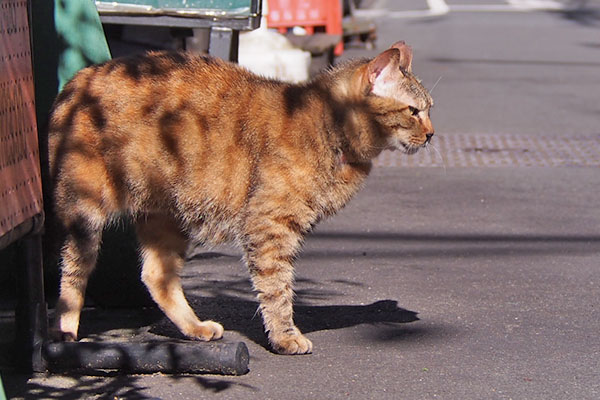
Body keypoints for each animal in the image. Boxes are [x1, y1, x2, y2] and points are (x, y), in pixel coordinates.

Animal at [47, 40, 432, 354]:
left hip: (166, 216)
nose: (431, 134)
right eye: (413, 111)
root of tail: (79, 78)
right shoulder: (269, 227)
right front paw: (285, 337)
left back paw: (195, 328)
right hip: (87, 210)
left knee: (156, 276)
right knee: (73, 272)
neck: (331, 125)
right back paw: (64, 330)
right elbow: (277, 288)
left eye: (430, 107)